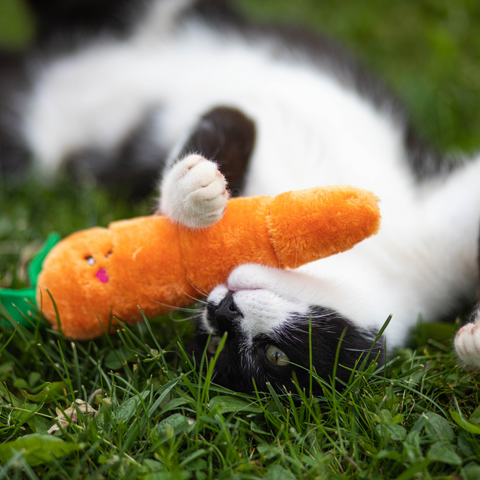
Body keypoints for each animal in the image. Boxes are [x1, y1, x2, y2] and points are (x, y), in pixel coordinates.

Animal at [0, 0, 480, 394]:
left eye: (275, 356)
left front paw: (470, 342)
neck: (377, 258)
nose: (223, 311)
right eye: (216, 340)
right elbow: (231, 119)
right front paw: (196, 192)